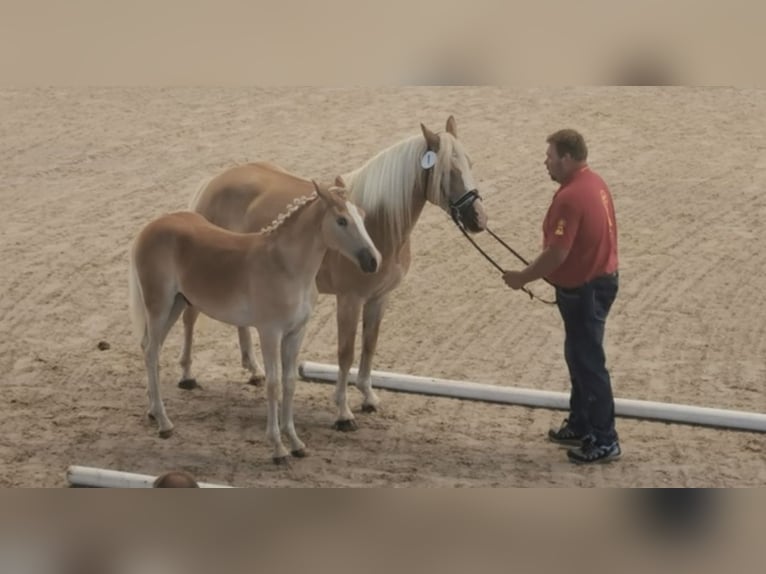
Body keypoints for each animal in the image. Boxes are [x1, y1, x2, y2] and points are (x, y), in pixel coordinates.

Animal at [129, 181, 380, 464]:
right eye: (341, 220)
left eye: (362, 216)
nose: (373, 261)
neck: (286, 267)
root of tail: (150, 228)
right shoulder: (270, 332)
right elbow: (273, 384)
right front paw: (278, 448)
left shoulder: (296, 333)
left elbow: (289, 382)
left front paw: (296, 443)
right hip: (159, 306)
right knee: (152, 353)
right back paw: (164, 423)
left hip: (177, 304)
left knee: (150, 349)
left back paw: (153, 412)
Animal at [183, 115, 488, 432]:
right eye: (448, 170)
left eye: (470, 163)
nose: (478, 218)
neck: (378, 223)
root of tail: (215, 180)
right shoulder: (350, 300)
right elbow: (346, 353)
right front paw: (343, 413)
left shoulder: (379, 298)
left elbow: (369, 346)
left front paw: (368, 398)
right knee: (189, 316)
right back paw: (188, 376)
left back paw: (254, 371)